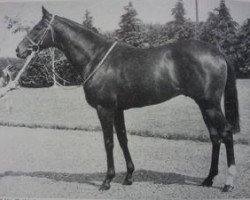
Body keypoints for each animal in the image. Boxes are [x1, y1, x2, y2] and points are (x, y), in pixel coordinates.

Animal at [16, 7, 240, 192]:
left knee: (226, 133)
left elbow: (109, 142)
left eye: (38, 27)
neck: (96, 58)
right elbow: (123, 139)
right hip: (204, 105)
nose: (19, 50)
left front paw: (107, 181)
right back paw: (208, 179)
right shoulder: (118, 109)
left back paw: (228, 183)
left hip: (210, 105)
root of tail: (217, 52)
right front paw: (129, 177)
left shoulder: (104, 109)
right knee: (215, 137)